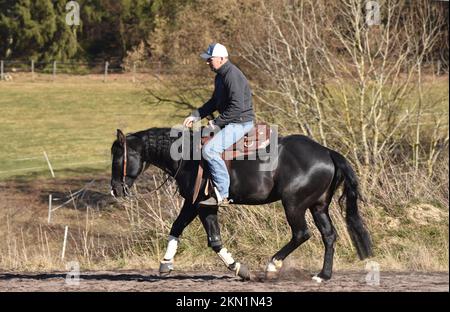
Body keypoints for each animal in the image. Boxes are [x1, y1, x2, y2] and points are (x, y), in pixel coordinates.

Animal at [110, 125, 372, 282]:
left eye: (119, 157)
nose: (115, 189)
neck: (188, 157)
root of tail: (327, 152)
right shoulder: (196, 204)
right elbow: (181, 229)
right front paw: (166, 263)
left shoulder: (201, 204)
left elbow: (211, 240)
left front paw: (239, 268)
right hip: (318, 206)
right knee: (329, 235)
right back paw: (323, 275)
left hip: (294, 205)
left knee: (301, 233)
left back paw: (272, 266)